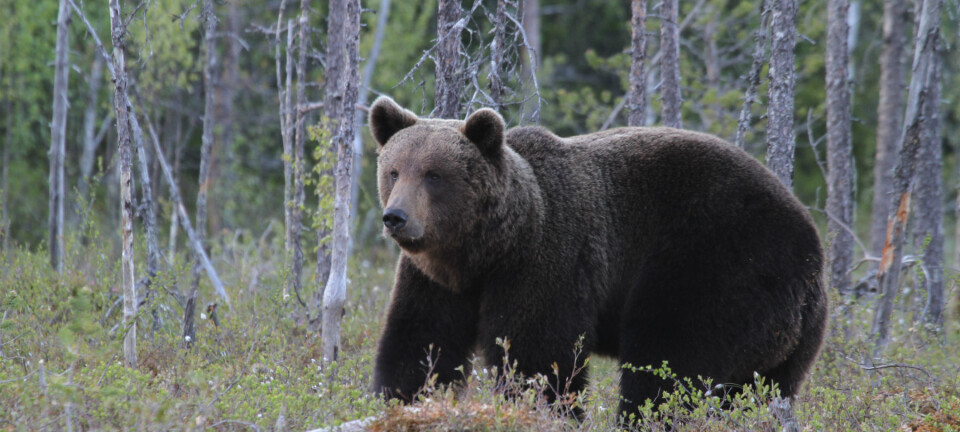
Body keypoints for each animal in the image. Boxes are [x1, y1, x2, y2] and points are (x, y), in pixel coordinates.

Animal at [368, 96, 827, 419]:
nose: (396, 217)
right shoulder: (435, 281)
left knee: (668, 362)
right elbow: (420, 344)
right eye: (394, 170)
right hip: (788, 339)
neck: (487, 253)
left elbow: (539, 356)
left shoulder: (547, 260)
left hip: (716, 263)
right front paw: (401, 400)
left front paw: (540, 410)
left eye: (433, 174)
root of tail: (812, 246)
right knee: (762, 389)